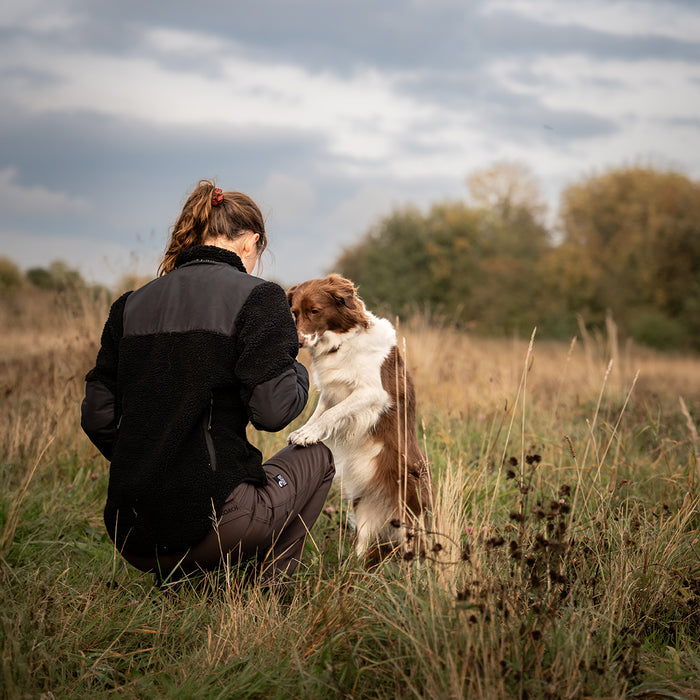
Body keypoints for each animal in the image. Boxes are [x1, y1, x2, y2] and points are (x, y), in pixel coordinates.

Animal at [286, 274, 432, 556]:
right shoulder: (331, 391)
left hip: (412, 507)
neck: (342, 343)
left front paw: (308, 435)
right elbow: (319, 413)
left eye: (315, 311)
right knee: (363, 544)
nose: (297, 342)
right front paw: (303, 431)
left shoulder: (372, 392)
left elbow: (332, 414)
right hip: (364, 509)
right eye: (294, 313)